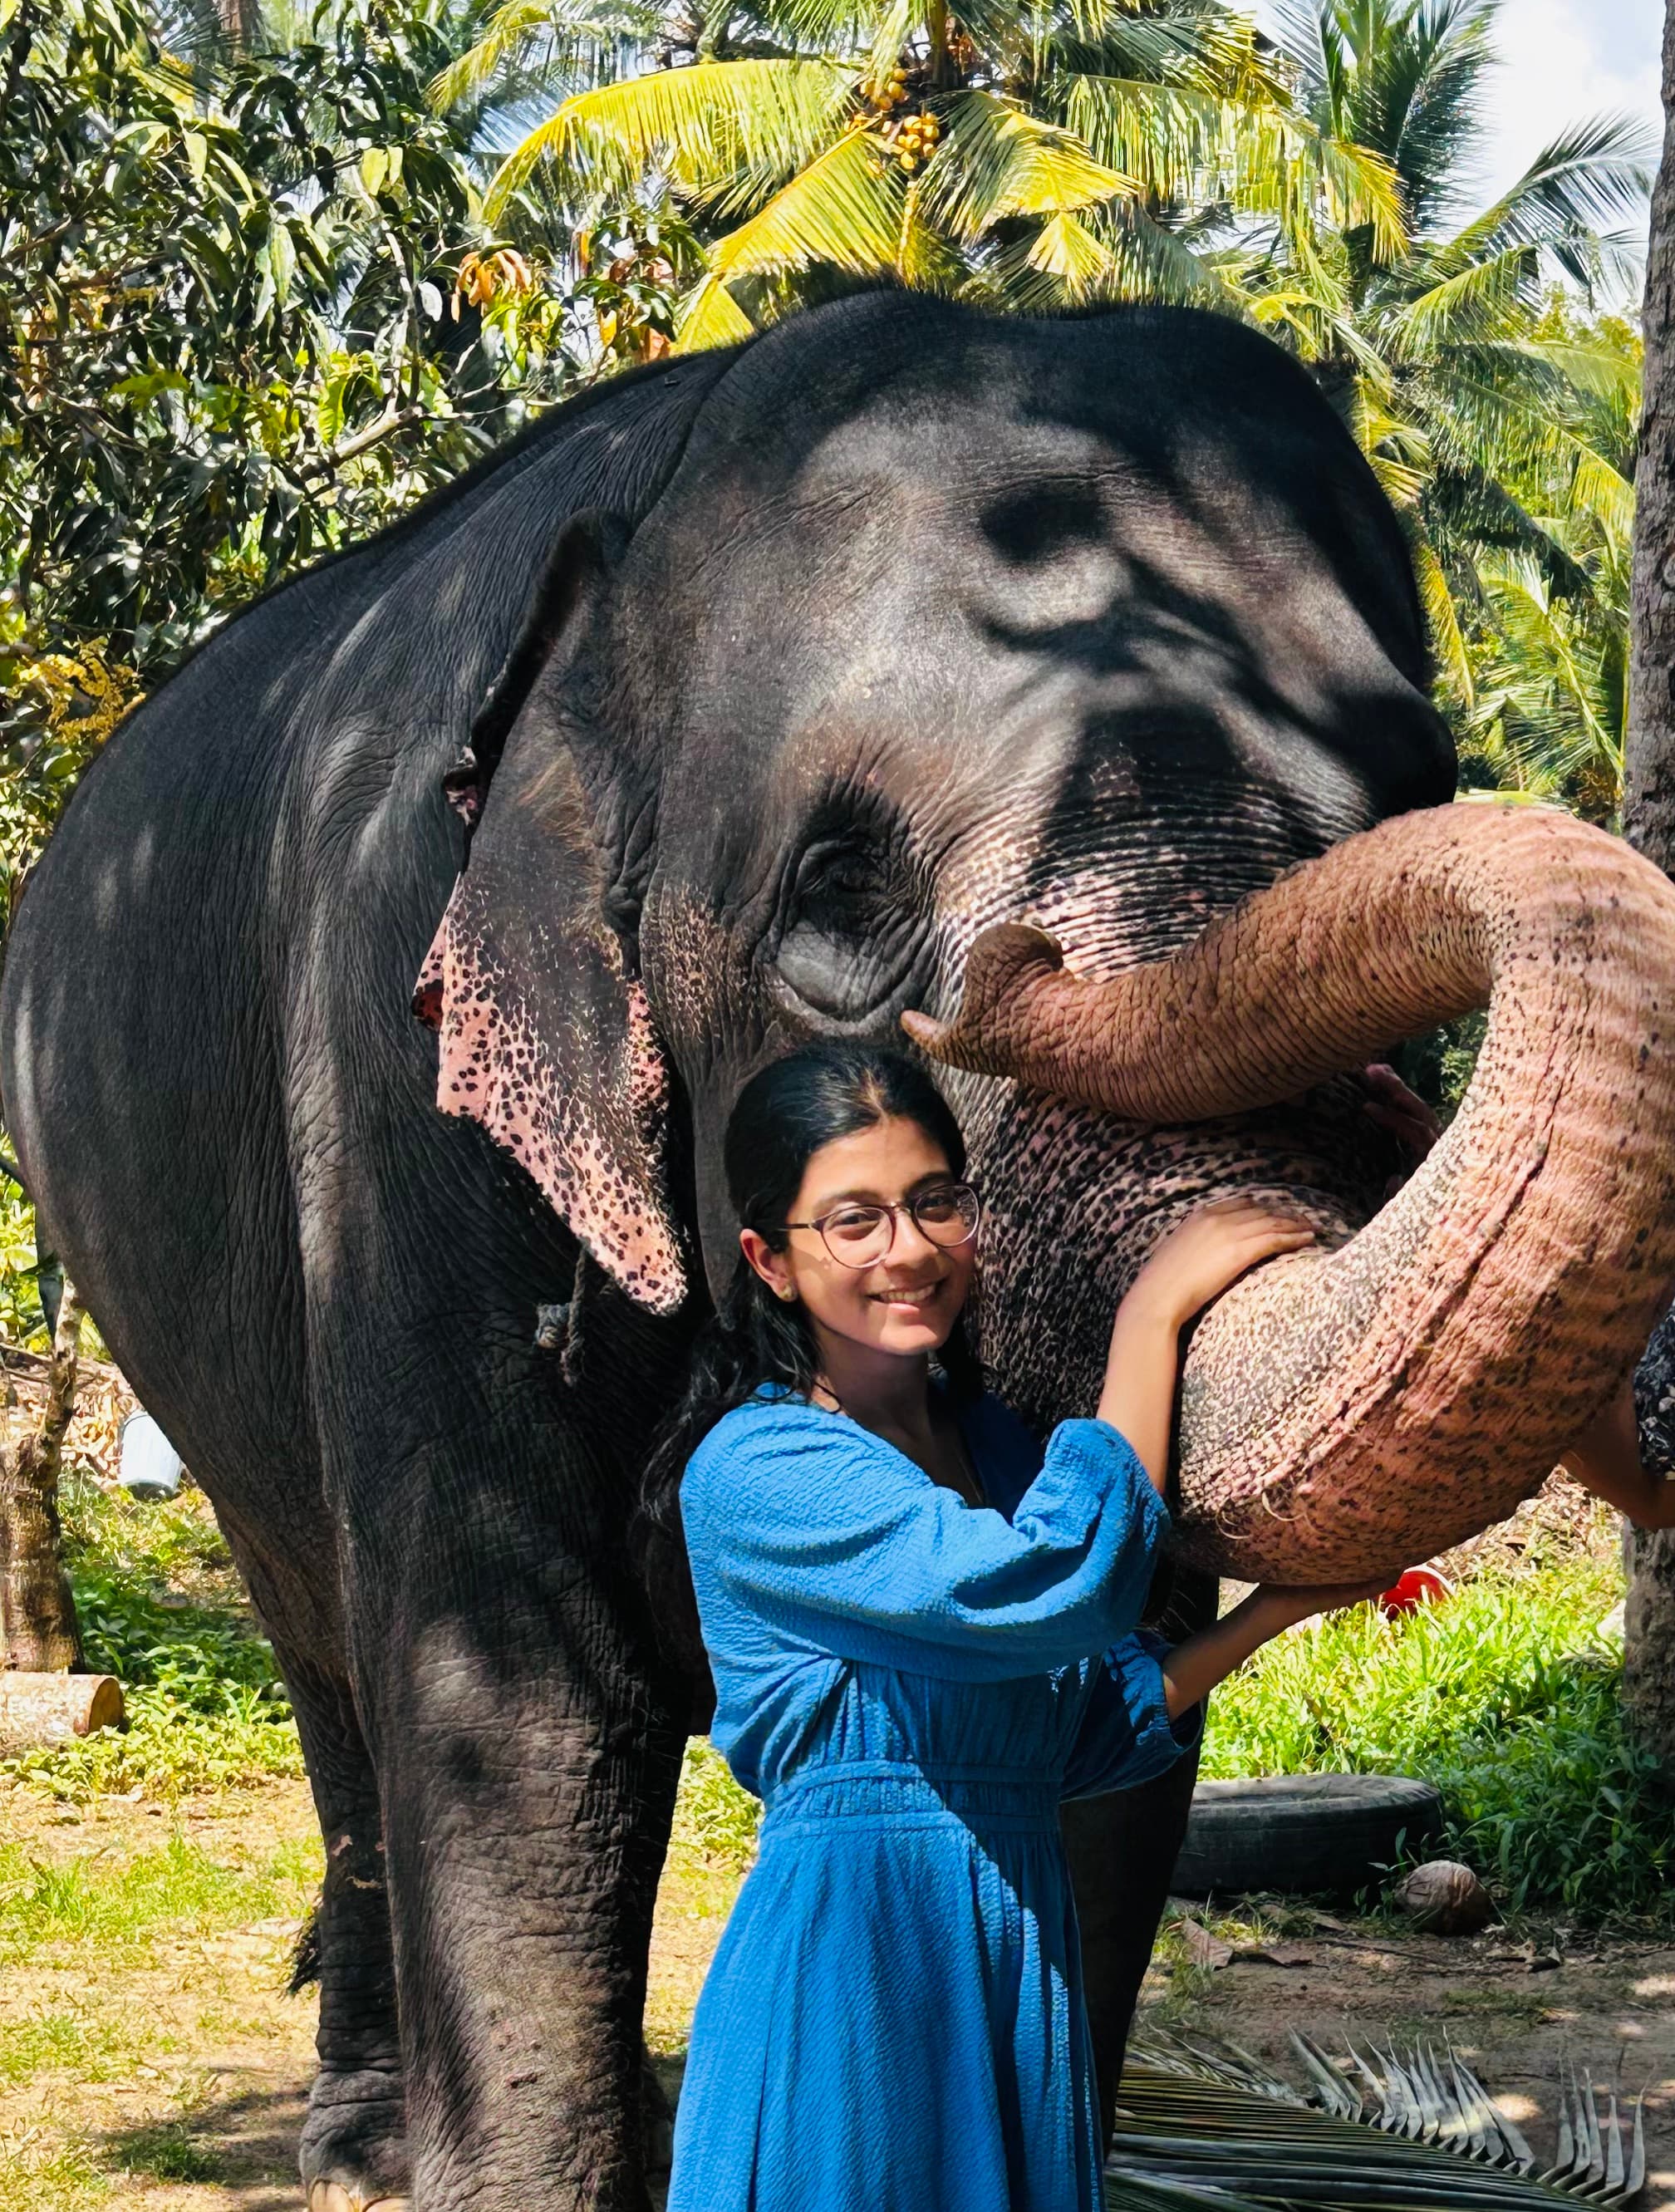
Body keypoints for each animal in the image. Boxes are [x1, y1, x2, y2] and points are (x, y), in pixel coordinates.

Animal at [6, 289, 1670, 2211]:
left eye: (1414, 783)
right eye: (841, 895)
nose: (1011, 974)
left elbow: (1084, 1693)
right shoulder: (389, 1067)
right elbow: (522, 1702)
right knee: (333, 1662)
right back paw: (361, 2141)